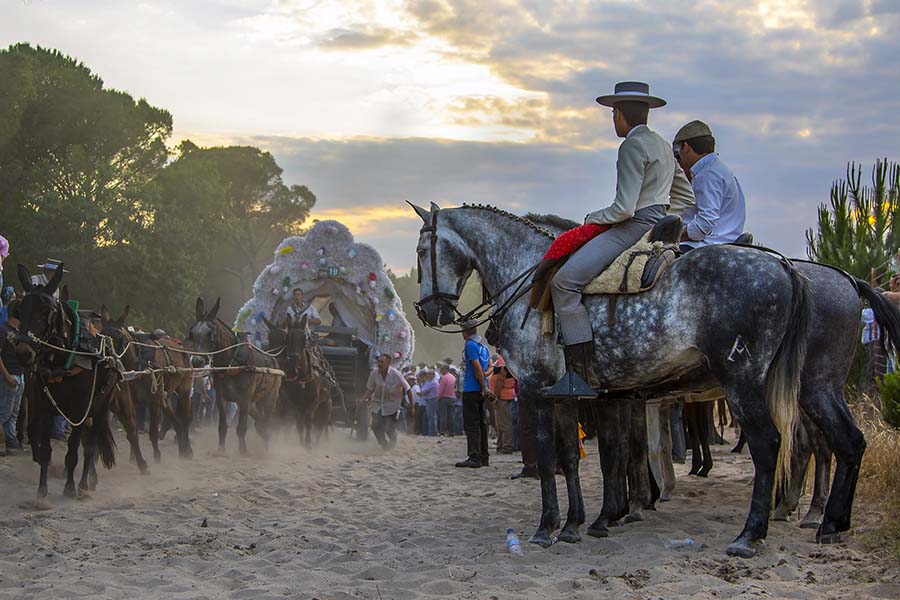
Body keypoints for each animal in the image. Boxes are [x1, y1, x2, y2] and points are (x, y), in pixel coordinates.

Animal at [13, 266, 118, 502]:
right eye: (20, 309)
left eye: (46, 310)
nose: (24, 353)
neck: (62, 359)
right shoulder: (43, 406)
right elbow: (44, 450)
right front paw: (42, 491)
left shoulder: (79, 410)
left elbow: (73, 451)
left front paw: (70, 487)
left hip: (101, 407)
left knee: (90, 446)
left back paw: (84, 484)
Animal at [185, 298, 280, 452]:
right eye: (192, 333)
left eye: (209, 333)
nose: (197, 361)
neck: (232, 363)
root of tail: (274, 359)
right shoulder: (221, 398)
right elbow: (222, 427)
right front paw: (221, 450)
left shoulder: (245, 398)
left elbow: (241, 427)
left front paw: (243, 451)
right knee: (259, 419)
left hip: (269, 397)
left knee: (267, 420)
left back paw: (265, 447)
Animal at [414, 203, 892, 556]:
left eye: (421, 251)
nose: (428, 311)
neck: (533, 280)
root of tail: (788, 269)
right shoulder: (576, 396)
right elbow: (576, 457)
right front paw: (576, 523)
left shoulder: (536, 392)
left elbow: (557, 459)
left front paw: (549, 527)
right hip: (817, 386)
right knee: (847, 442)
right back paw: (830, 522)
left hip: (744, 382)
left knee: (773, 443)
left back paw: (752, 533)